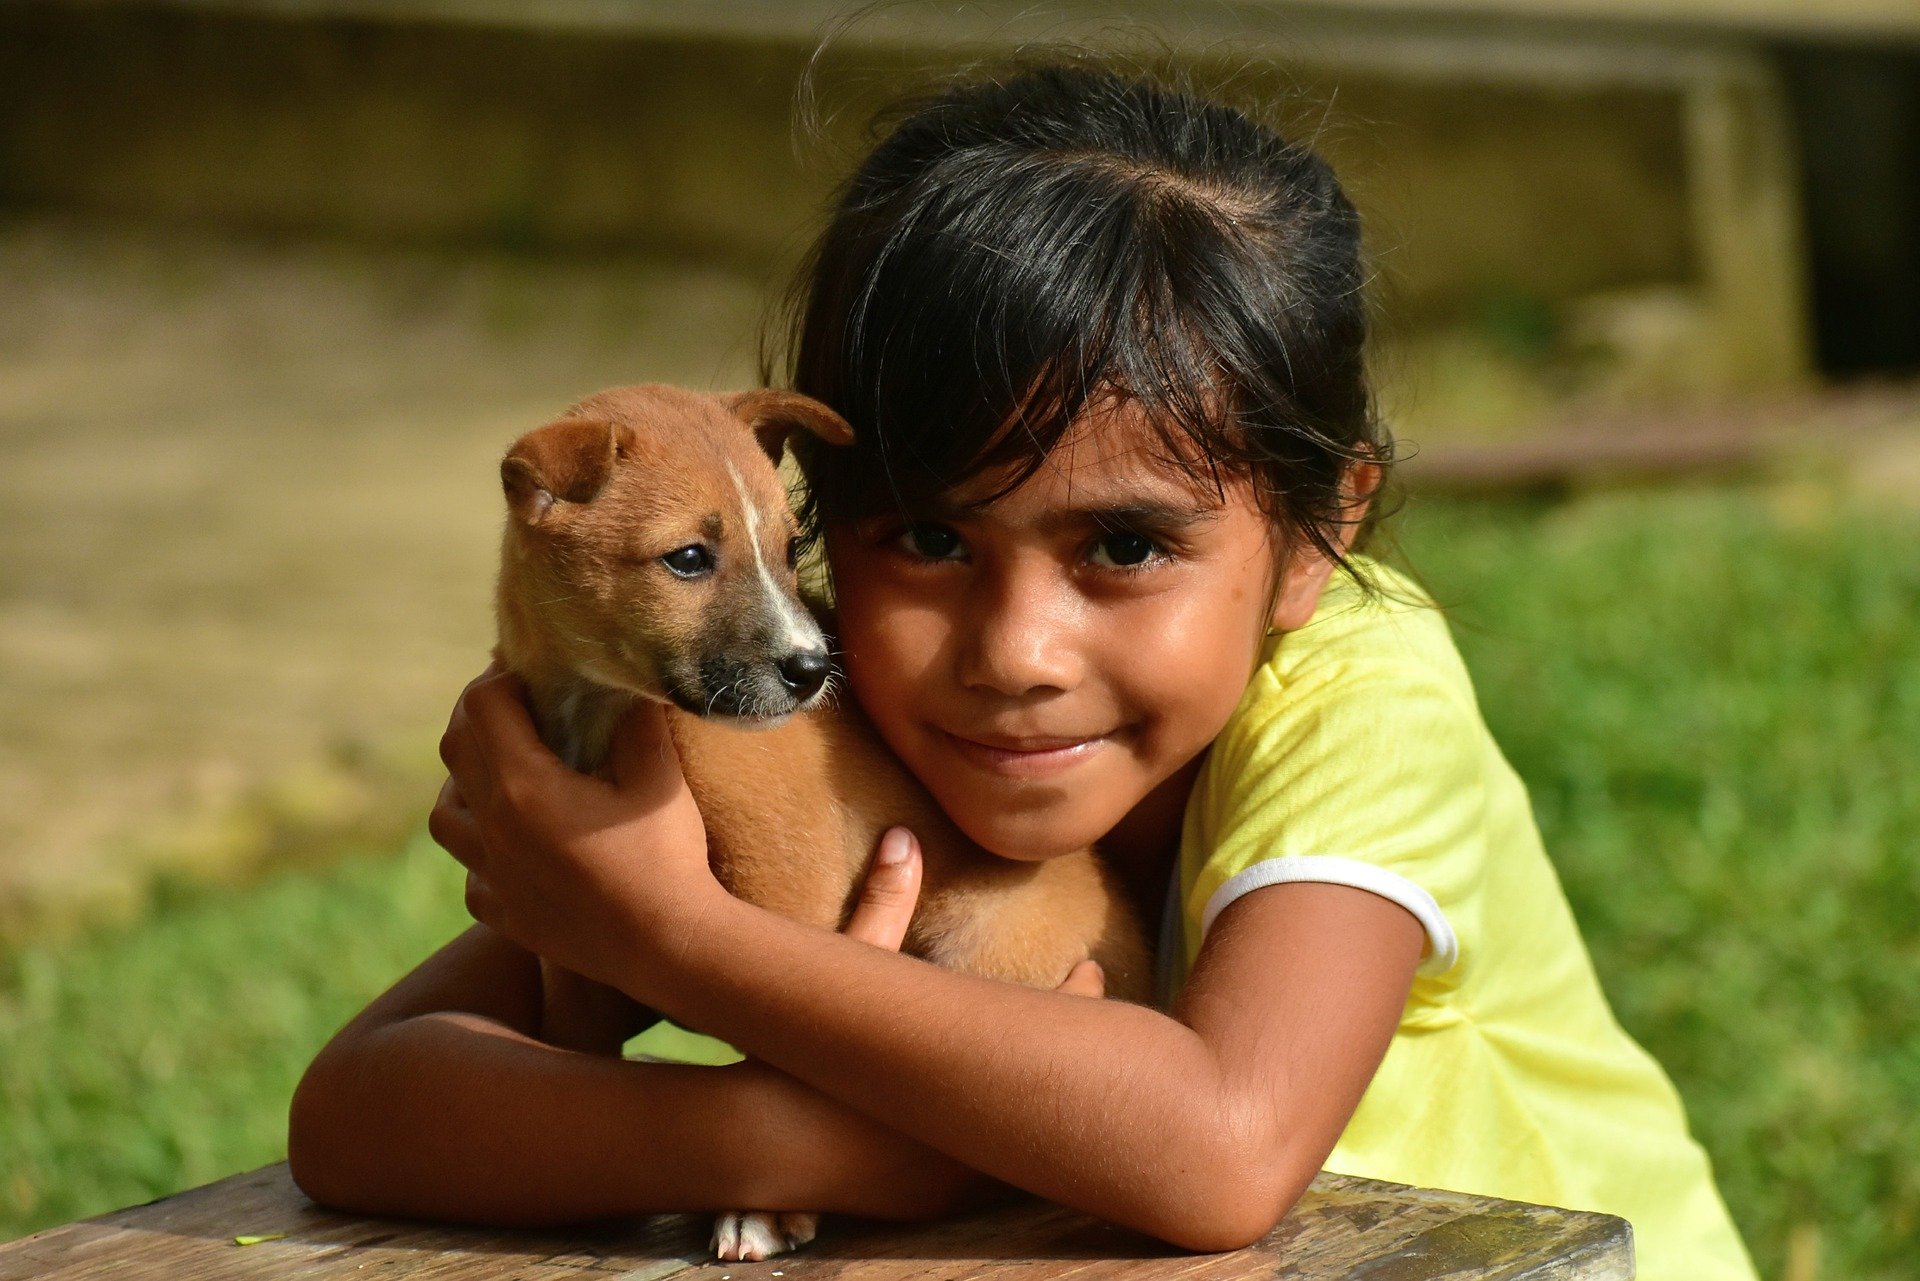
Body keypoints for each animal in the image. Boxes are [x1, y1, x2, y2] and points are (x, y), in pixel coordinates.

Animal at [499, 380, 1152, 1259]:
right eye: (688, 558)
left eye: (791, 544)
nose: (813, 671)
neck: (600, 706)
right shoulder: (569, 949)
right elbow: (572, 1049)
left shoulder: (787, 886)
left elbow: (787, 1046)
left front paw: (763, 1210)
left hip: (985, 945)